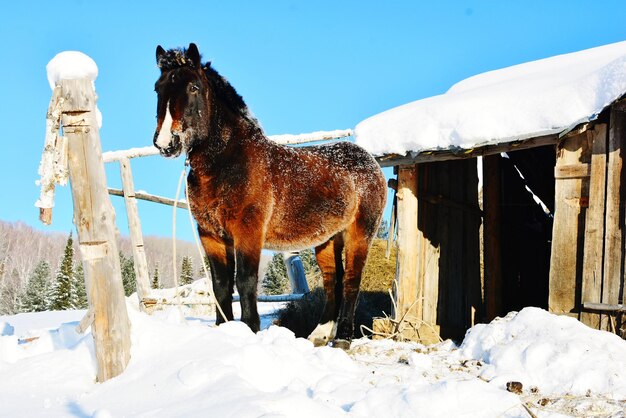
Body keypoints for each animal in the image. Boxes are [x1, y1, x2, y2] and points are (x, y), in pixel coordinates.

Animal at [152, 43, 386, 350]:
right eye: (157, 88)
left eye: (193, 87)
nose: (166, 143)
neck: (229, 162)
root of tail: (368, 161)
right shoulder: (211, 235)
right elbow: (221, 286)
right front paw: (223, 331)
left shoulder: (248, 231)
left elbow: (246, 282)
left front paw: (249, 330)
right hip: (326, 240)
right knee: (332, 282)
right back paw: (320, 334)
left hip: (360, 233)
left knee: (351, 281)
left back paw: (343, 338)